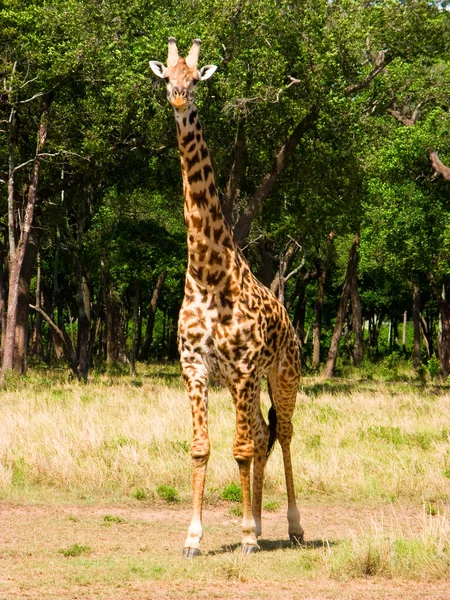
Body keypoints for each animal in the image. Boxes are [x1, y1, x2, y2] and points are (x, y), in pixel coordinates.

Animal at [150, 36, 302, 552]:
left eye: (196, 78)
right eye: (165, 76)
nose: (179, 99)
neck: (209, 272)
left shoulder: (243, 369)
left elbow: (240, 448)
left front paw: (249, 535)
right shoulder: (195, 368)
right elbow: (202, 449)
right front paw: (194, 537)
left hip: (283, 374)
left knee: (283, 432)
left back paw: (289, 526)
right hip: (250, 384)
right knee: (262, 433)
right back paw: (256, 521)